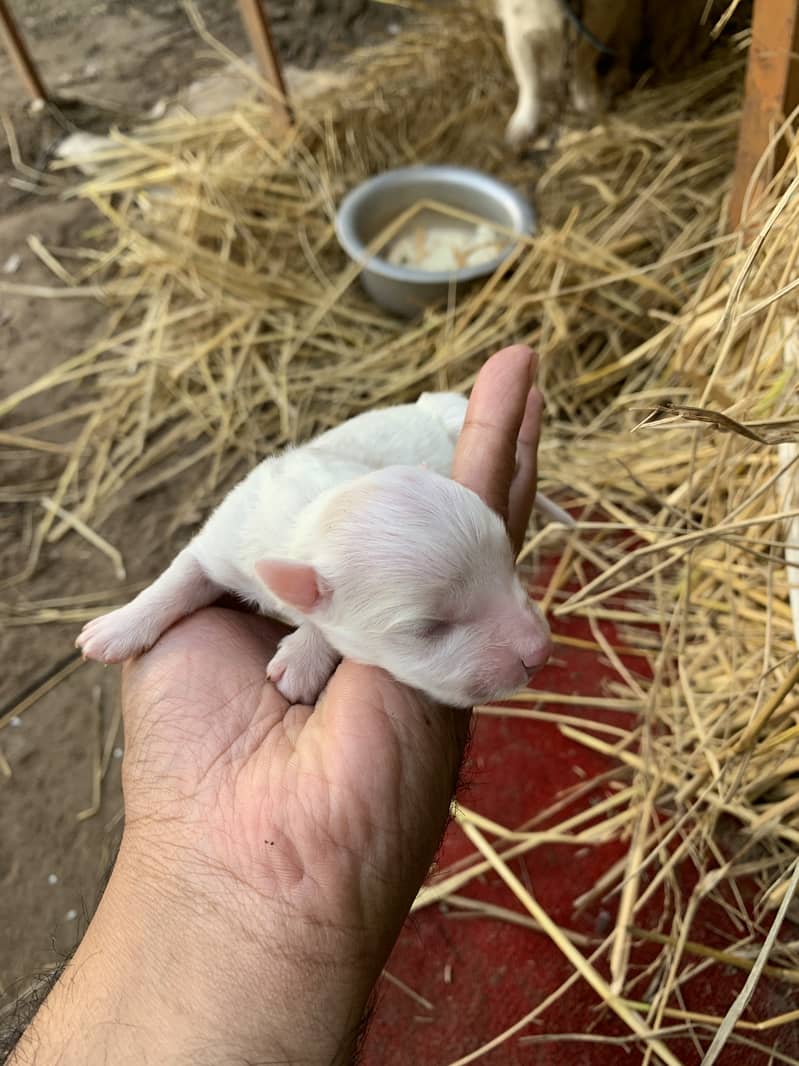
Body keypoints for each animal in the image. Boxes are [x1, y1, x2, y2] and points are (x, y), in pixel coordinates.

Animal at [78, 392, 553, 707]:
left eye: (508, 566)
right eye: (429, 628)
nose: (540, 653)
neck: (317, 510)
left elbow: (322, 624)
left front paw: (300, 661)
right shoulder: (227, 533)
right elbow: (180, 575)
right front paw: (116, 628)